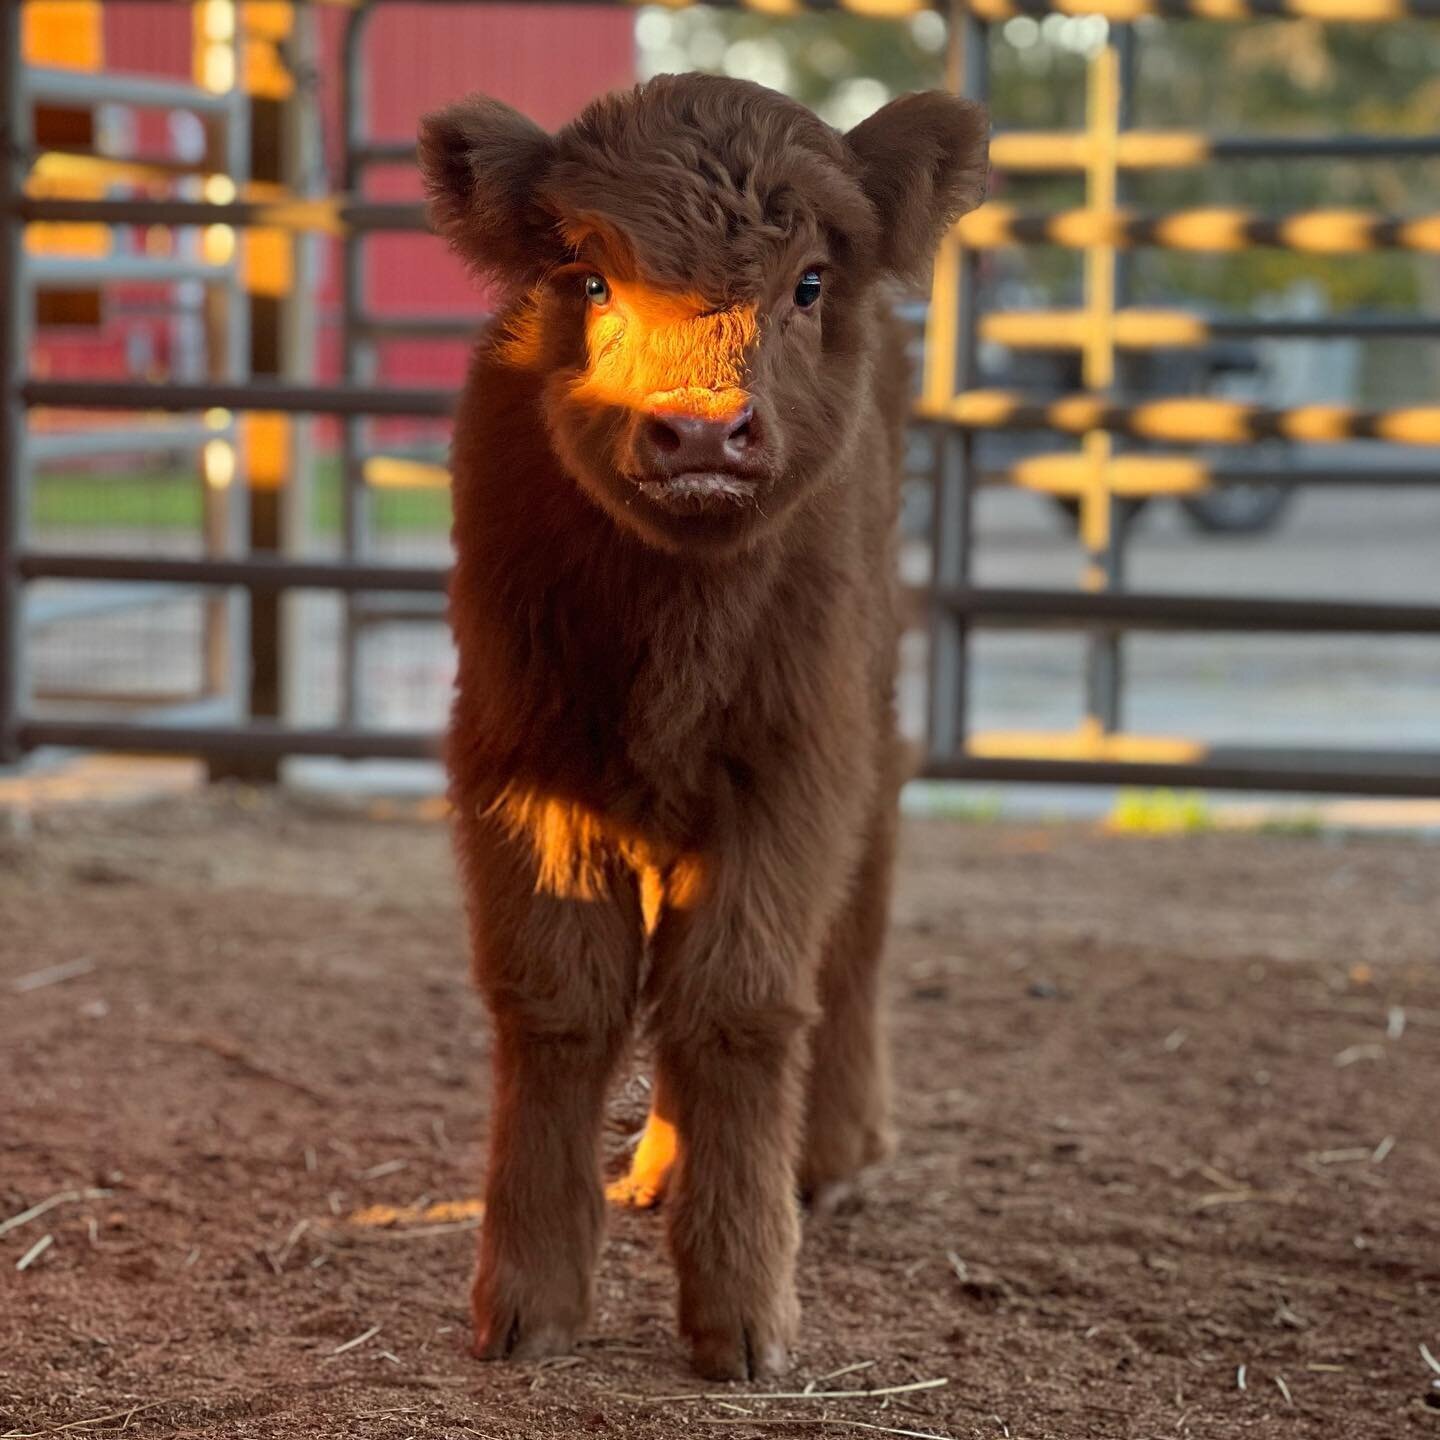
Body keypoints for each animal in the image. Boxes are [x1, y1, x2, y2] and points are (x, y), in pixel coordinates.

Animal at [419, 72, 987, 1380]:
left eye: (809, 282)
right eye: (590, 279)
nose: (699, 431)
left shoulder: (793, 765)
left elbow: (741, 1001)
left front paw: (744, 1308)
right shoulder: (520, 764)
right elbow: (561, 996)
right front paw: (527, 1299)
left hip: (870, 729)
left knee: (850, 932)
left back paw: (832, 1155)